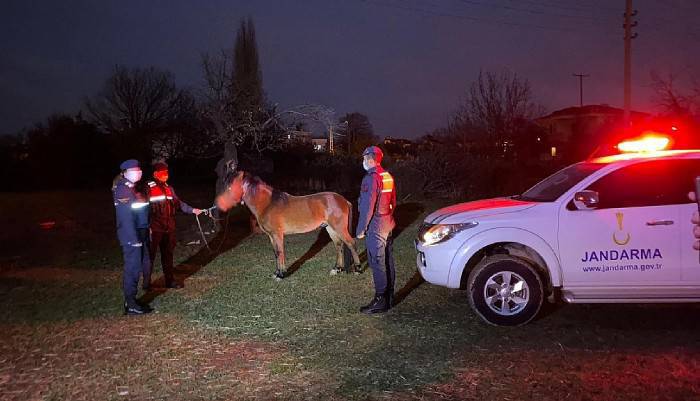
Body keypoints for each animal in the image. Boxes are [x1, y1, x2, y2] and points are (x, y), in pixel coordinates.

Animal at [215, 171, 360, 278]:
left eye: (230, 187)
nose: (219, 205)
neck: (267, 204)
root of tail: (344, 200)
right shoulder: (271, 236)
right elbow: (275, 253)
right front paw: (276, 273)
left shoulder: (277, 234)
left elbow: (280, 252)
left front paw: (281, 275)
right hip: (330, 228)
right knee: (339, 245)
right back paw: (337, 269)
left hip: (339, 228)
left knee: (351, 243)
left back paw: (358, 269)